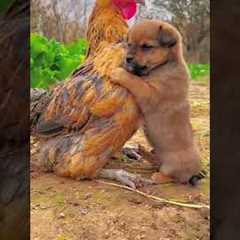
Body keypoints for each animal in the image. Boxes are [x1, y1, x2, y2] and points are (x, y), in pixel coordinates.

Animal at [110, 20, 201, 185]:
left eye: (147, 46)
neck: (165, 65)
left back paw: (158, 176)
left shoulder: (150, 94)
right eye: (129, 44)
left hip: (173, 166)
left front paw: (119, 73)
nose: (128, 58)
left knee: (174, 177)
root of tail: (195, 172)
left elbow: (134, 80)